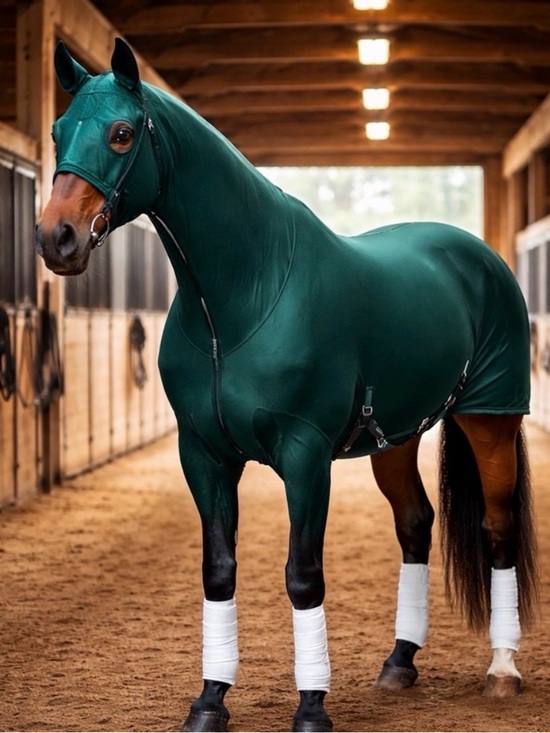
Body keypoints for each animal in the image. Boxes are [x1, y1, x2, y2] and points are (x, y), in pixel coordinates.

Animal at [36, 38, 538, 733]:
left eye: (121, 133)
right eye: (58, 131)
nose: (56, 238)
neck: (238, 300)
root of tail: (480, 256)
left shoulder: (304, 457)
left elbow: (303, 576)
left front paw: (311, 708)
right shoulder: (205, 455)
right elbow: (218, 572)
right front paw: (209, 702)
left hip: (490, 420)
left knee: (497, 529)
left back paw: (502, 671)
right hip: (396, 439)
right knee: (415, 525)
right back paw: (399, 664)